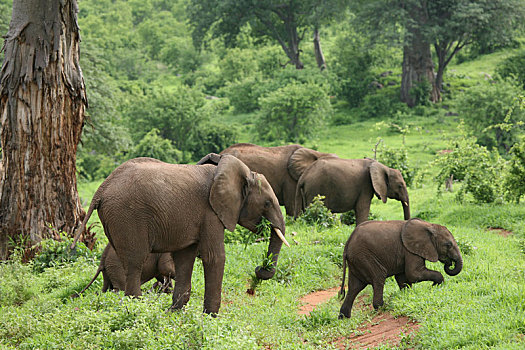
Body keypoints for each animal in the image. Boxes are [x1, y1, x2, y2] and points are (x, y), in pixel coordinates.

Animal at [70, 156, 286, 314]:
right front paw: (210, 318)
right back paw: (137, 309)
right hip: (127, 216)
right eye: (267, 203)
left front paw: (174, 313)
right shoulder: (211, 212)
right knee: (134, 265)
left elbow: (184, 259)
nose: (259, 269)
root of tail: (101, 189)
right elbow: (214, 257)